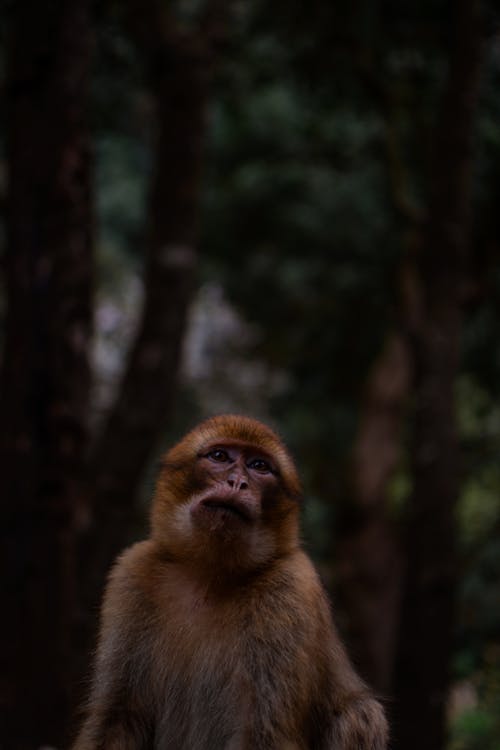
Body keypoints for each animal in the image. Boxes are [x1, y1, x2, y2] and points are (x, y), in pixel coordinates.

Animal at [72, 418, 388, 750]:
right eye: (220, 456)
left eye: (259, 466)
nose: (238, 482)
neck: (209, 576)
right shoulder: (133, 574)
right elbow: (117, 718)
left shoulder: (290, 589)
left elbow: (264, 732)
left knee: (360, 714)